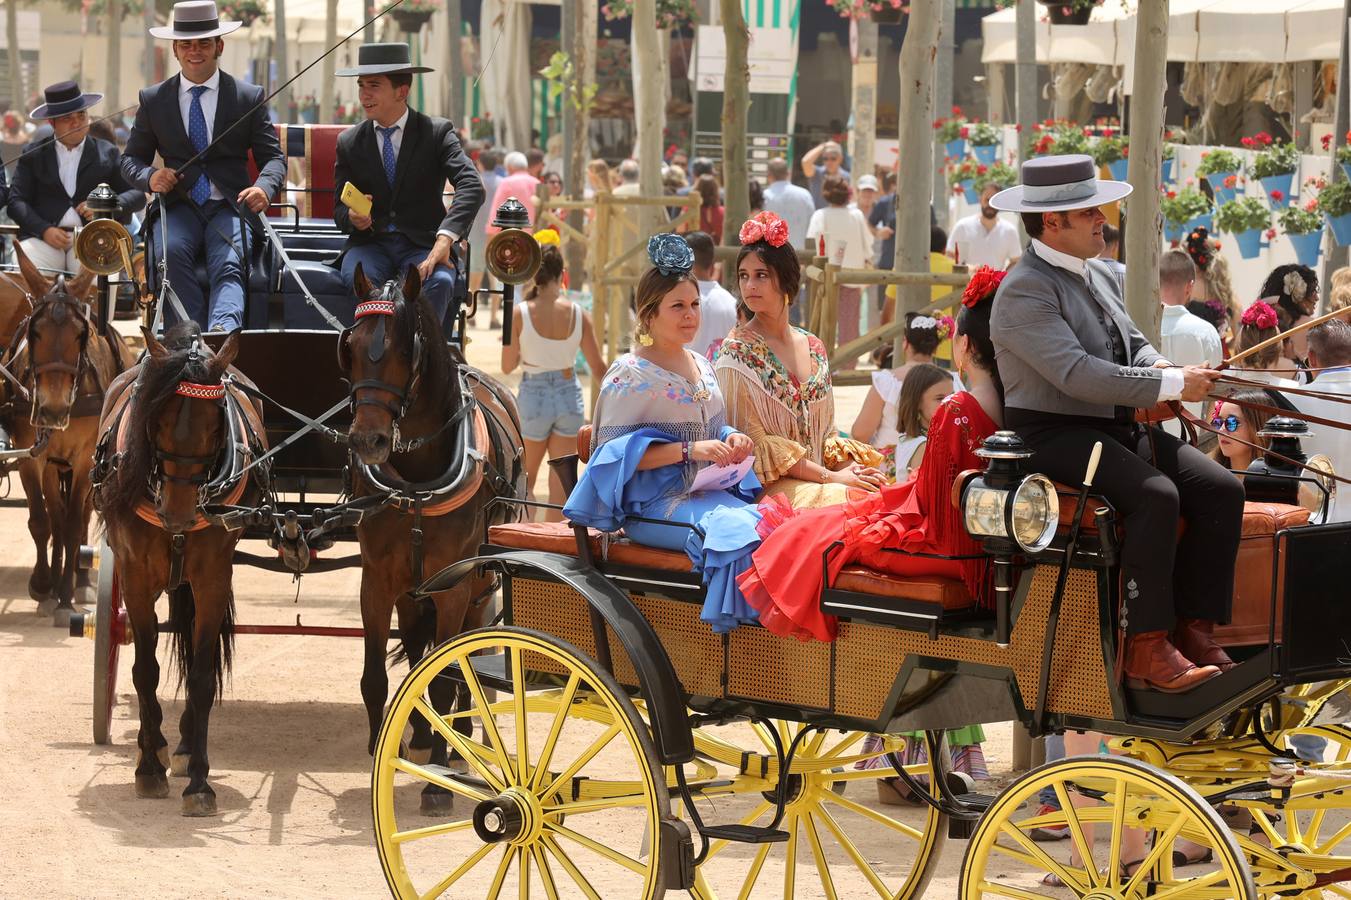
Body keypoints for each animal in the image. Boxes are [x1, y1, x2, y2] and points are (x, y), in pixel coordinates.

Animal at [2, 245, 133, 624]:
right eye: (34, 332)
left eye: (81, 334)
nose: (53, 409)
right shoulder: (32, 455)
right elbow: (43, 521)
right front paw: (43, 586)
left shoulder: (86, 456)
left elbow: (76, 521)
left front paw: (65, 596)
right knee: (56, 518)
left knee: (83, 514)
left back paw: (82, 579)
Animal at [94, 322, 268, 810]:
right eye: (156, 418)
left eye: (215, 424)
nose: (178, 513)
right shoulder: (135, 578)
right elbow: (144, 671)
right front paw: (149, 767)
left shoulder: (211, 580)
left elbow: (203, 676)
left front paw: (199, 781)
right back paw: (153, 747)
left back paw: (186, 745)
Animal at [340, 260, 524, 810]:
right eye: (350, 346)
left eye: (405, 350)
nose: (368, 440)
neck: (420, 481)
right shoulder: (378, 583)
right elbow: (377, 679)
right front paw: (385, 754)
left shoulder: (452, 586)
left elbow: (445, 677)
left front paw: (439, 782)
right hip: (411, 591)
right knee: (418, 652)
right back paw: (423, 737)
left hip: (479, 587)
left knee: (466, 655)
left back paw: (458, 745)